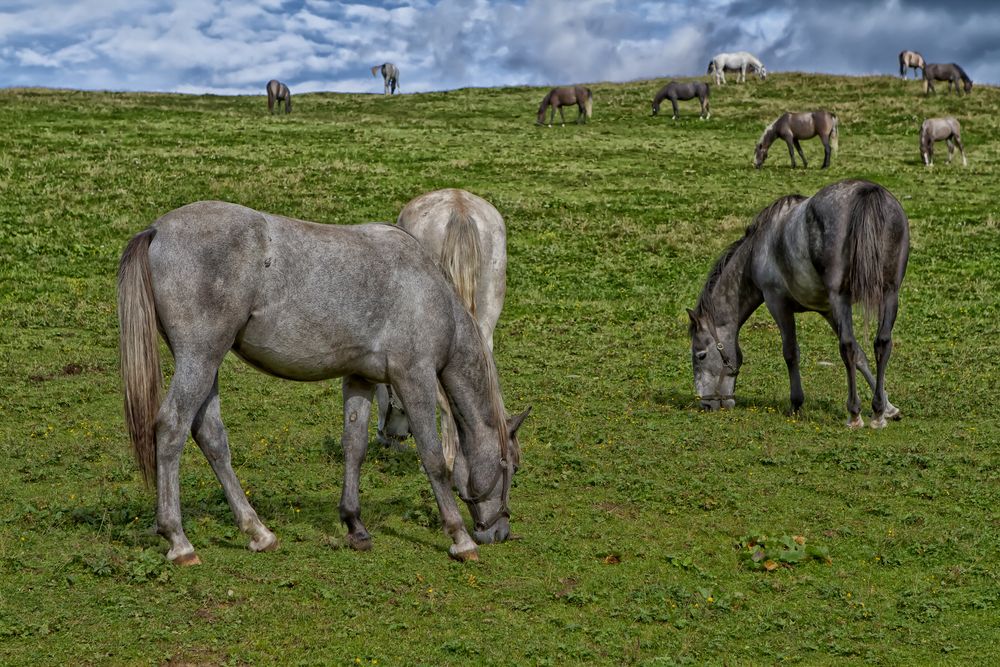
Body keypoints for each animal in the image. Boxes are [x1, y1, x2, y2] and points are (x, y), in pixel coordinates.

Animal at [688, 179, 908, 428]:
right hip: (889, 293)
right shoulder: (829, 310)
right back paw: (878, 412)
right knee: (881, 343)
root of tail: (866, 191)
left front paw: (796, 403)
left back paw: (853, 413)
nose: (706, 404)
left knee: (847, 347)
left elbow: (791, 353)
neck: (758, 248)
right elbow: (861, 356)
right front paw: (888, 407)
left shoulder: (778, 303)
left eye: (701, 355)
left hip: (842, 297)